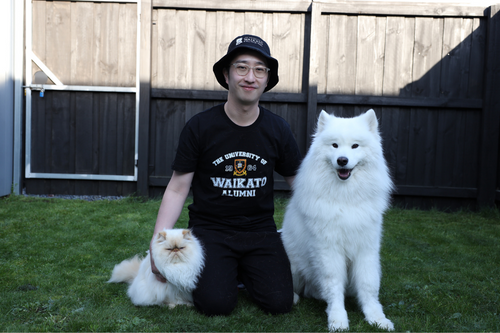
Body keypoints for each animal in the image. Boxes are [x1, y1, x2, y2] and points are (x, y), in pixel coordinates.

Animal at [282, 109, 394, 330]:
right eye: (334, 145)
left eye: (355, 146)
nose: (342, 160)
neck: (345, 197)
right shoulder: (328, 250)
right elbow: (333, 286)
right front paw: (338, 319)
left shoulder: (366, 248)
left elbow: (368, 284)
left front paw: (376, 318)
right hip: (293, 265)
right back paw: (294, 298)